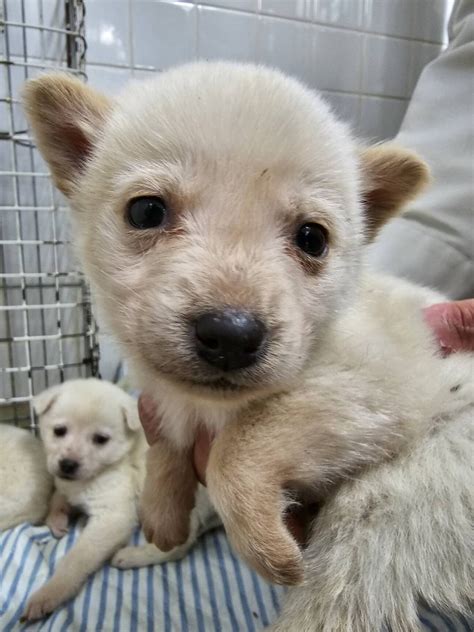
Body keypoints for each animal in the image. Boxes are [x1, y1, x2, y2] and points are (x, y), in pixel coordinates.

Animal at [22, 380, 215, 624]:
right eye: (59, 431)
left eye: (101, 439)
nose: (67, 464)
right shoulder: (67, 486)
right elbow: (58, 496)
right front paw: (57, 519)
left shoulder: (113, 515)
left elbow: (76, 560)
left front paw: (50, 593)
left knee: (180, 546)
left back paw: (130, 556)